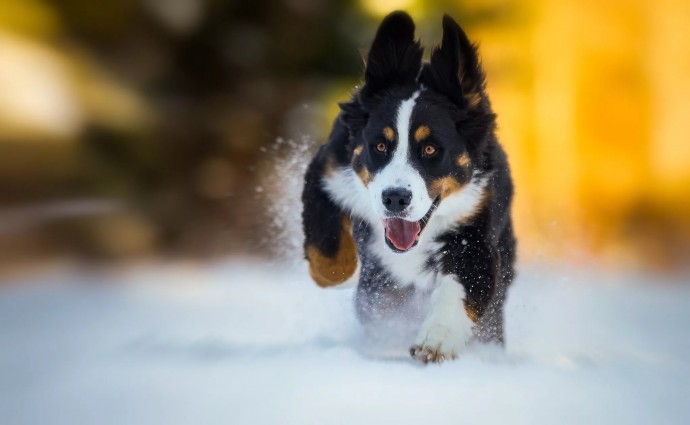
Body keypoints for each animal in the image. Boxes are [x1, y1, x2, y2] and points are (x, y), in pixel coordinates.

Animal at [298, 12, 512, 364]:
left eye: (431, 149)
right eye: (380, 145)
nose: (395, 198)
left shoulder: (477, 227)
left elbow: (460, 288)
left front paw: (436, 341)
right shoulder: (327, 169)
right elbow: (327, 246)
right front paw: (336, 275)